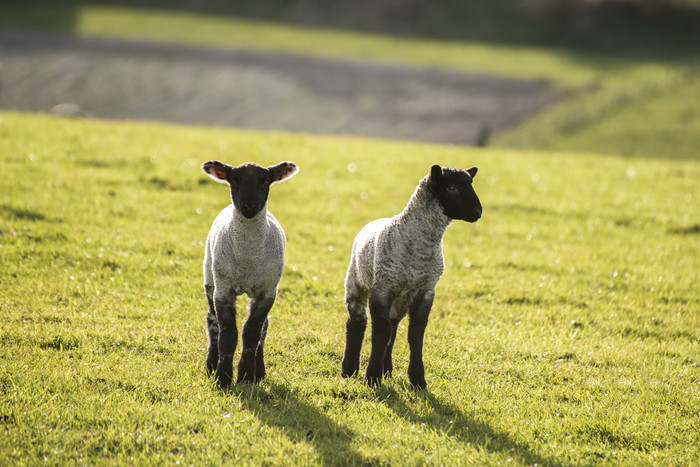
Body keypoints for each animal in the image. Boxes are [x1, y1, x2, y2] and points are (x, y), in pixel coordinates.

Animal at [200, 160, 298, 388]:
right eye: (235, 179)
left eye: (265, 180)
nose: (249, 206)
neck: (248, 260)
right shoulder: (224, 290)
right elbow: (228, 334)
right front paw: (223, 378)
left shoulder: (267, 292)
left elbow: (252, 331)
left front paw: (246, 376)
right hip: (210, 277)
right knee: (212, 322)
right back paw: (211, 364)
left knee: (264, 327)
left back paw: (259, 371)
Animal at [342, 163, 484, 390]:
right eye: (451, 187)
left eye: (471, 184)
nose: (478, 212)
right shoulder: (382, 287)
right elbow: (380, 332)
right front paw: (372, 378)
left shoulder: (425, 291)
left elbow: (415, 333)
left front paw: (418, 380)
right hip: (357, 282)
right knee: (357, 323)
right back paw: (349, 369)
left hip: (400, 299)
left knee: (393, 328)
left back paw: (387, 369)